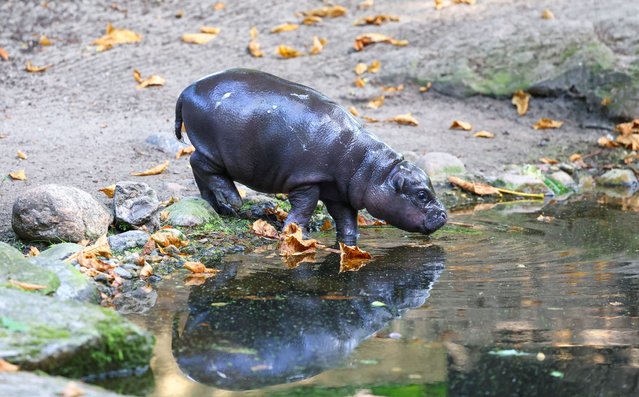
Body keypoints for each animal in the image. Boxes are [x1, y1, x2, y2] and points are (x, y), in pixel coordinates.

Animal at [172, 68, 448, 244]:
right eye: (421, 194)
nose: (445, 214)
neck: (372, 168)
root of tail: (187, 89)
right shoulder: (308, 180)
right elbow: (304, 208)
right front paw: (295, 234)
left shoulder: (338, 192)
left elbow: (347, 220)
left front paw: (348, 241)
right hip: (213, 150)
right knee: (199, 165)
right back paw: (234, 201)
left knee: (199, 170)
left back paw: (219, 206)